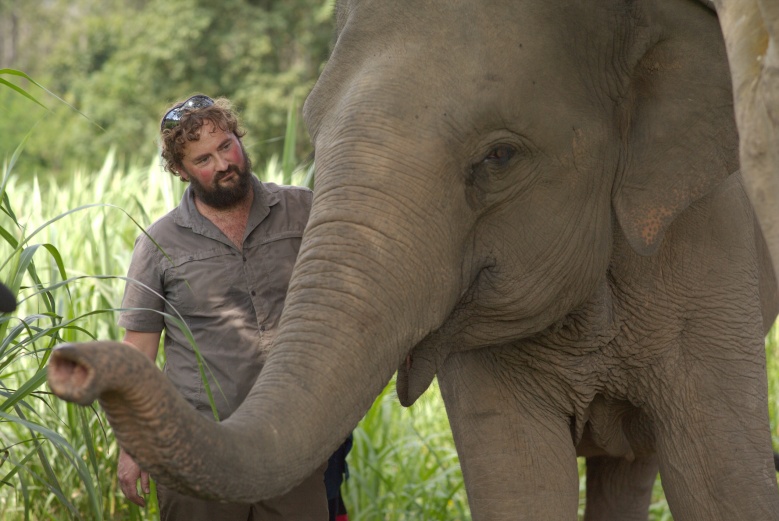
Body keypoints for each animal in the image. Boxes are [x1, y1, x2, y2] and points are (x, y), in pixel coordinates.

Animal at [47, 0, 779, 520]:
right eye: (311, 129)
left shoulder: (712, 252)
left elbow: (721, 479)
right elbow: (516, 481)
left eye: (499, 156)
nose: (68, 360)